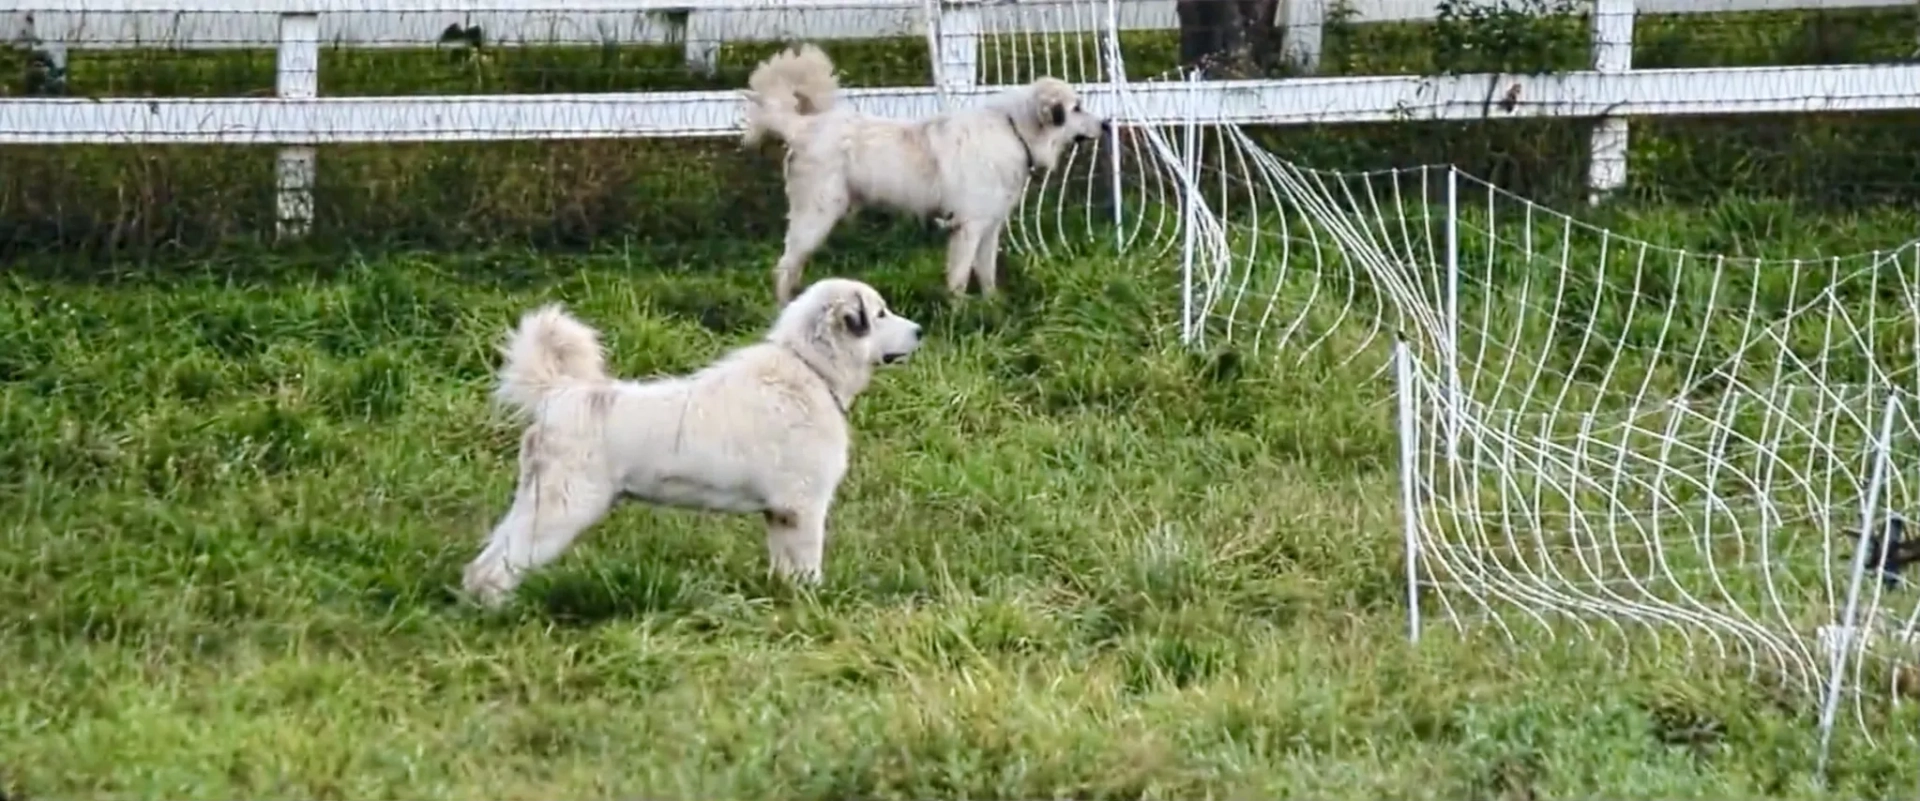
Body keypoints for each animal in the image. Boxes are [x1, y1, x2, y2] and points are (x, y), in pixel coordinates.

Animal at [456, 276, 921, 606]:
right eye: (879, 314)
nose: (919, 331)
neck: (811, 369)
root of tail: (562, 393)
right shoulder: (802, 509)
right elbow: (807, 566)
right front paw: (814, 603)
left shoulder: (780, 515)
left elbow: (785, 569)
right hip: (562, 507)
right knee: (496, 566)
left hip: (538, 501)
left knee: (487, 560)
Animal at [744, 44, 1113, 305]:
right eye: (1077, 108)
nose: (1107, 124)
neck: (1015, 132)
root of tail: (803, 126)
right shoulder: (968, 228)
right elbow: (960, 276)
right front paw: (961, 315)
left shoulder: (989, 227)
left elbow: (986, 271)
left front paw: (992, 306)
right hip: (816, 216)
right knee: (784, 266)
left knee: (792, 266)